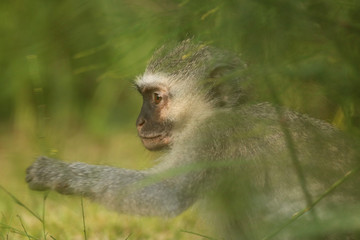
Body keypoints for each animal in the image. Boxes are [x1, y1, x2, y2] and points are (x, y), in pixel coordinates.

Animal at [26, 39, 358, 240]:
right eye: (144, 96)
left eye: (156, 98)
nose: (139, 122)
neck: (217, 114)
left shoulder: (212, 141)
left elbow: (165, 195)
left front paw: (57, 172)